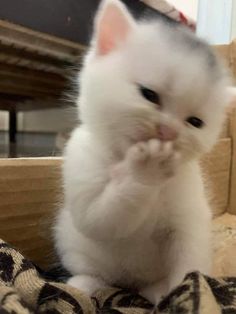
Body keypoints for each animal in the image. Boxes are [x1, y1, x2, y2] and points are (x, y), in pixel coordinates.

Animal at [54, 0, 230, 304]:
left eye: (195, 122)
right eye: (149, 95)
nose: (168, 132)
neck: (123, 156)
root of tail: (130, 284)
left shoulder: (190, 217)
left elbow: (190, 257)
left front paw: (187, 291)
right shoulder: (80, 161)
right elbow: (99, 219)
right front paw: (146, 170)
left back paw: (156, 291)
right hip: (70, 239)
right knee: (93, 270)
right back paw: (82, 285)